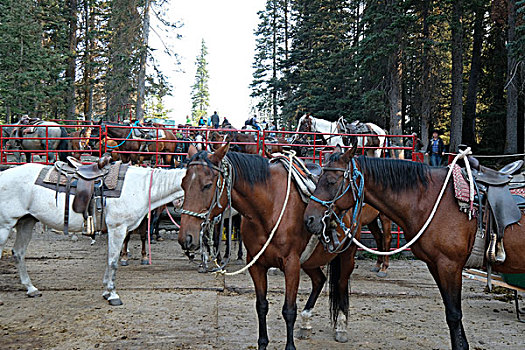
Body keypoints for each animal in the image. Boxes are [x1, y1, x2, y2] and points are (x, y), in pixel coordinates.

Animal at [0, 163, 185, 304]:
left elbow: (110, 259)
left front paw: (106, 291)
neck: (140, 187)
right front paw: (113, 295)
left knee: (18, 253)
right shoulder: (118, 228)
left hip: (26, 222)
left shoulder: (116, 230)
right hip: (5, 226)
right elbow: (113, 262)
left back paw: (31, 289)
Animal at [177, 143, 380, 350]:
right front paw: (262, 344)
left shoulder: (291, 265)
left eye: (207, 185)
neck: (269, 206)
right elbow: (261, 306)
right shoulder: (257, 265)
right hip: (310, 261)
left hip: (347, 254)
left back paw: (341, 328)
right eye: (183, 184)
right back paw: (306, 323)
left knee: (340, 285)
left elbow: (289, 310)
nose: (186, 237)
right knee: (319, 280)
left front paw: (290, 346)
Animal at [300, 146, 524, 348]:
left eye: (331, 181)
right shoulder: (436, 266)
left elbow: (454, 314)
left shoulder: (450, 266)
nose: (309, 219)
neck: (431, 200)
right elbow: (450, 313)